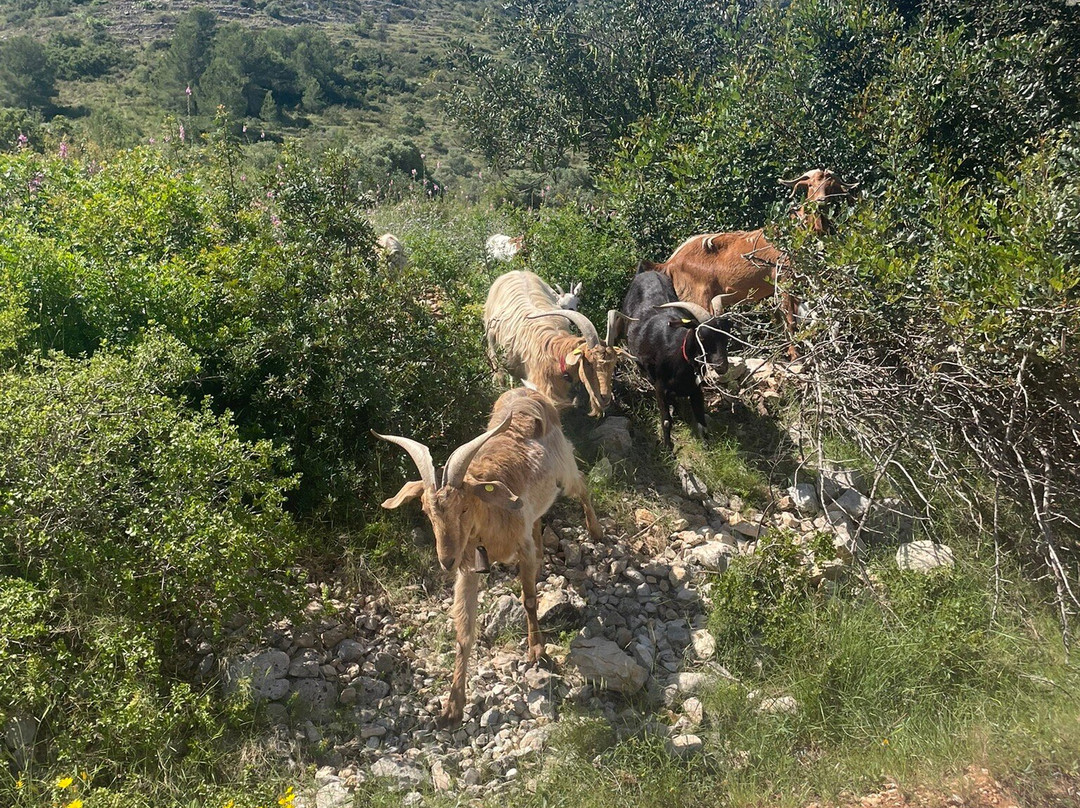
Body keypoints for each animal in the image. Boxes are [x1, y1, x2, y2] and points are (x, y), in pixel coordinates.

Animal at [374, 387, 602, 727]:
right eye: (426, 510)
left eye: (464, 508)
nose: (446, 560)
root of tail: (528, 392)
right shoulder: (469, 566)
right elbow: (464, 629)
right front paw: (453, 706)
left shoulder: (520, 546)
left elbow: (529, 600)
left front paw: (537, 651)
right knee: (540, 519)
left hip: (565, 469)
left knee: (583, 485)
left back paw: (596, 530)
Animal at [484, 270, 624, 417]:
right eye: (589, 363)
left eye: (613, 364)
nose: (605, 398)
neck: (552, 351)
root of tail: (516, 271)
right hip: (491, 336)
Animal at [617, 271, 730, 449]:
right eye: (702, 337)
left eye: (726, 336)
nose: (722, 366)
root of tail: (646, 271)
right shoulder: (660, 386)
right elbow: (665, 421)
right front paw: (667, 448)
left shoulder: (696, 388)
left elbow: (701, 422)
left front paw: (707, 447)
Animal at [638, 169, 857, 351]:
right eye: (810, 184)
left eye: (830, 186)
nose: (821, 201)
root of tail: (670, 262)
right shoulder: (783, 280)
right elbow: (790, 322)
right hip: (697, 296)